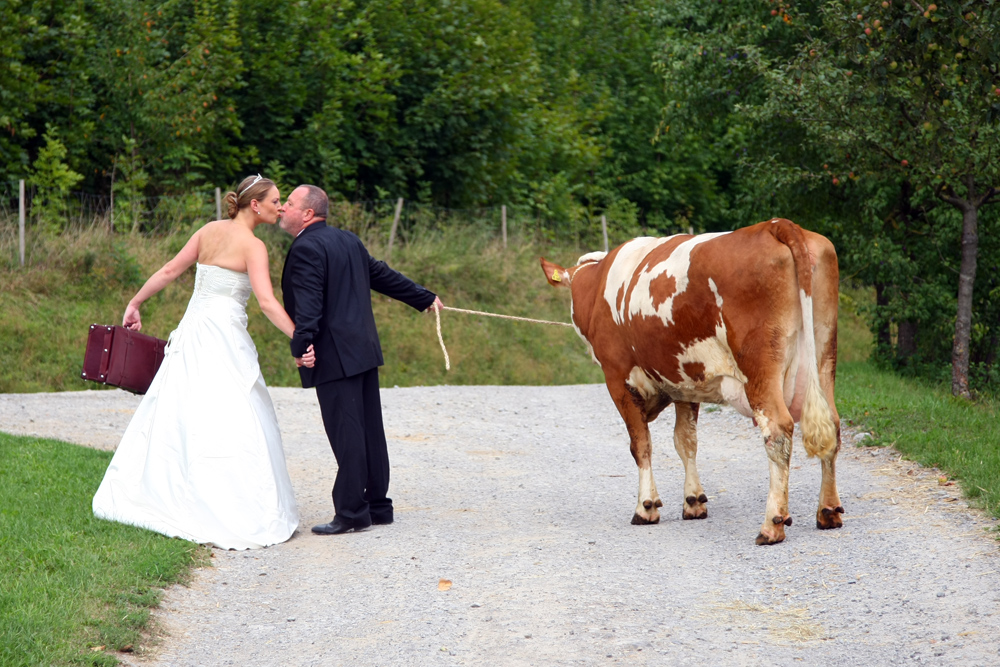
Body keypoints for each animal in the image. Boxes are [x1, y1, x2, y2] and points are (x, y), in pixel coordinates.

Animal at [544, 222, 840, 544]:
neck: (599, 285)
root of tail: (775, 225)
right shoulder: (685, 382)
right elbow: (685, 441)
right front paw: (693, 501)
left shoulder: (618, 378)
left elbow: (641, 444)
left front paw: (646, 506)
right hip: (824, 354)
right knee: (832, 426)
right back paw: (828, 511)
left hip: (759, 368)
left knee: (777, 431)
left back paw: (772, 524)